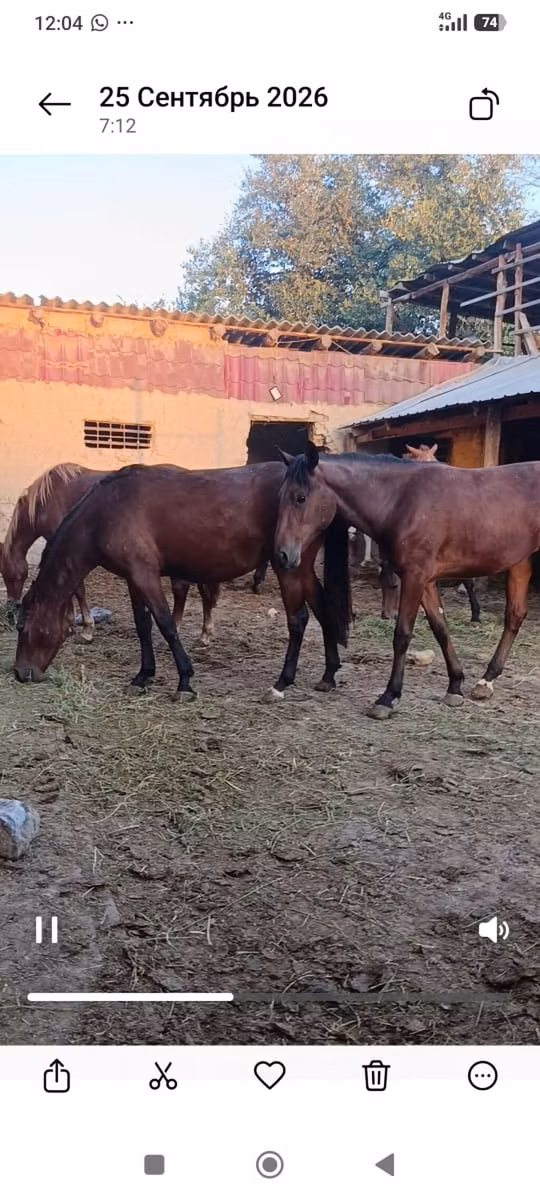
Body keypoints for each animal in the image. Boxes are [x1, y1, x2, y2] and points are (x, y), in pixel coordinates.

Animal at [0, 462, 219, 644]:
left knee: (183, 589)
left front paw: (85, 629)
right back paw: (205, 633)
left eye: (7, 574)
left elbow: (78, 589)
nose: (12, 605)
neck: (45, 500)